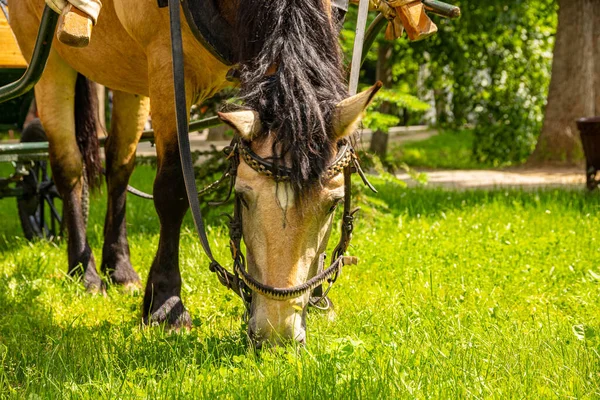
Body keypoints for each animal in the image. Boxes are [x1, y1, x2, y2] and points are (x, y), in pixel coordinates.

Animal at [9, 0, 380, 344]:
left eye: (334, 203)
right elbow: (172, 190)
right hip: (50, 61)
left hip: (128, 78)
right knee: (68, 168)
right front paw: (166, 304)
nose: (277, 331)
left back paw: (120, 268)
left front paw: (317, 298)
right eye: (242, 197)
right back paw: (84, 272)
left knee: (119, 166)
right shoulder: (167, 64)